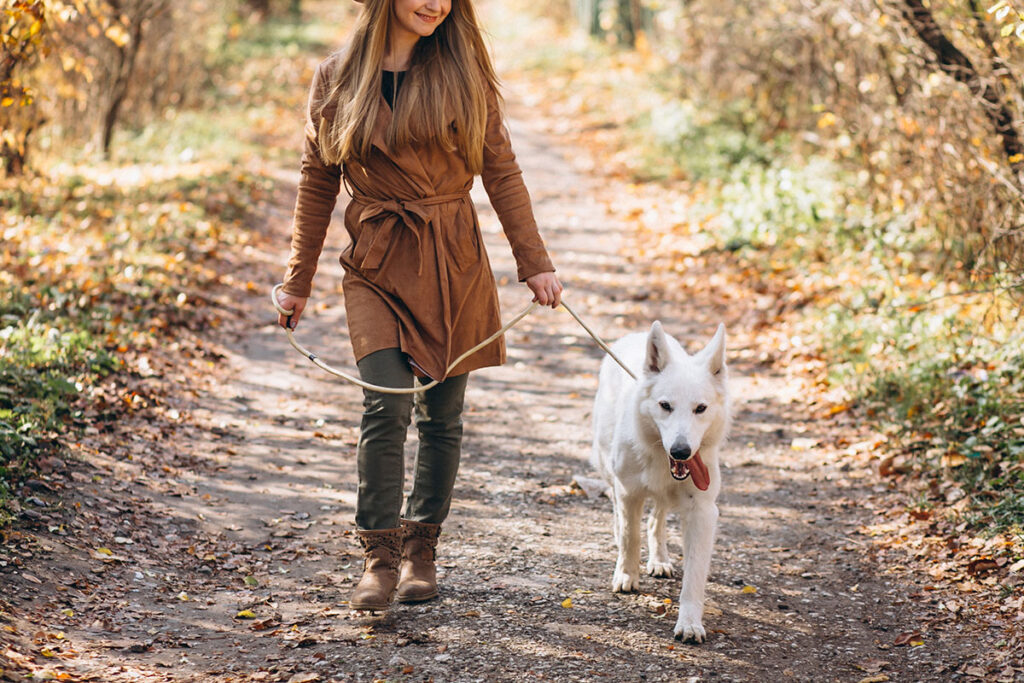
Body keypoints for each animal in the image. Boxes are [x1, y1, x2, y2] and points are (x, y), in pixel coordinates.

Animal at [593, 321, 729, 643]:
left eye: (700, 408)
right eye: (665, 405)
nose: (681, 451)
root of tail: (636, 333)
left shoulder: (702, 511)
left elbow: (694, 573)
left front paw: (689, 623)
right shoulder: (629, 493)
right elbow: (630, 536)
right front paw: (626, 575)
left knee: (657, 520)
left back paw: (659, 560)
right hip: (610, 471)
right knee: (619, 515)